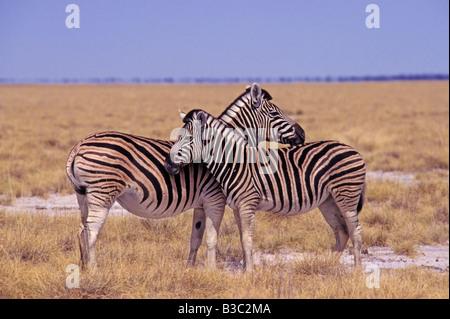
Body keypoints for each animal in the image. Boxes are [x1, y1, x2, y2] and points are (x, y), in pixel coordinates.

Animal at [65, 83, 304, 270]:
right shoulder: (215, 199)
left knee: (81, 230)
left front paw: (190, 269)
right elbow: (212, 238)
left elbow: (195, 239)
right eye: (275, 114)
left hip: (83, 195)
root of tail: (78, 145)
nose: (302, 134)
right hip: (102, 192)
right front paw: (212, 272)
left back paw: (84, 268)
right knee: (91, 231)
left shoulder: (200, 203)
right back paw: (94, 271)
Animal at [163, 109, 368, 272]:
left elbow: (247, 240)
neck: (234, 163)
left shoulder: (247, 203)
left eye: (189, 139)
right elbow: (242, 238)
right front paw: (245, 270)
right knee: (341, 231)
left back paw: (357, 271)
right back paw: (329, 264)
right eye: (178, 138)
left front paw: (249, 273)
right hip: (328, 200)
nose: (167, 165)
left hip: (346, 194)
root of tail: (353, 150)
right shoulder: (237, 207)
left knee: (355, 230)